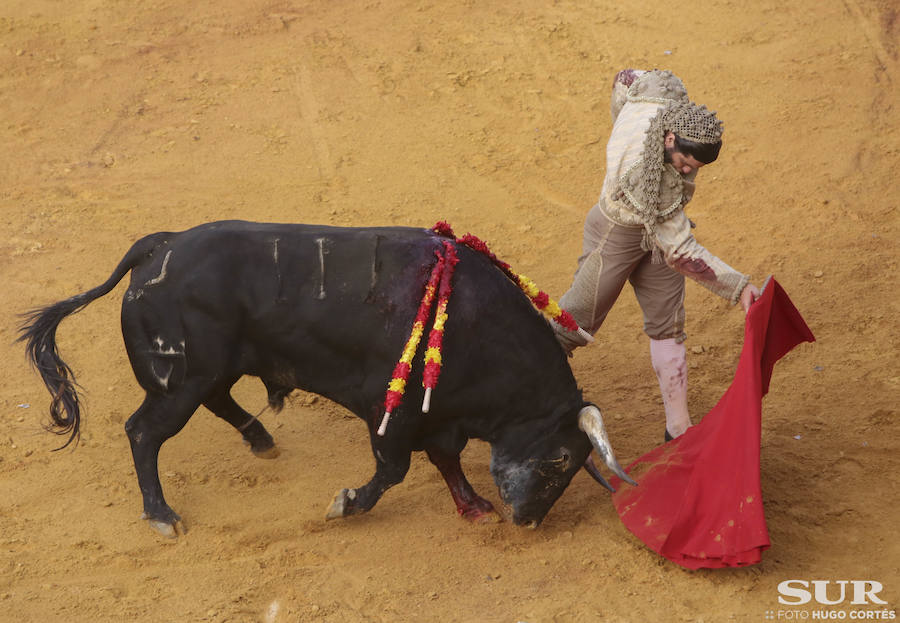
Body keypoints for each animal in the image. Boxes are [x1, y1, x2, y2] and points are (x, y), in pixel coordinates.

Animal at [15, 222, 632, 540]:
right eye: (561, 460)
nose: (527, 521)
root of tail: (159, 246)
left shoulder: (439, 415)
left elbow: (446, 460)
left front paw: (473, 504)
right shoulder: (392, 414)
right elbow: (394, 470)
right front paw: (345, 504)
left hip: (209, 369)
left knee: (215, 399)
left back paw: (260, 440)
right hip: (176, 383)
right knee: (144, 432)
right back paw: (163, 516)